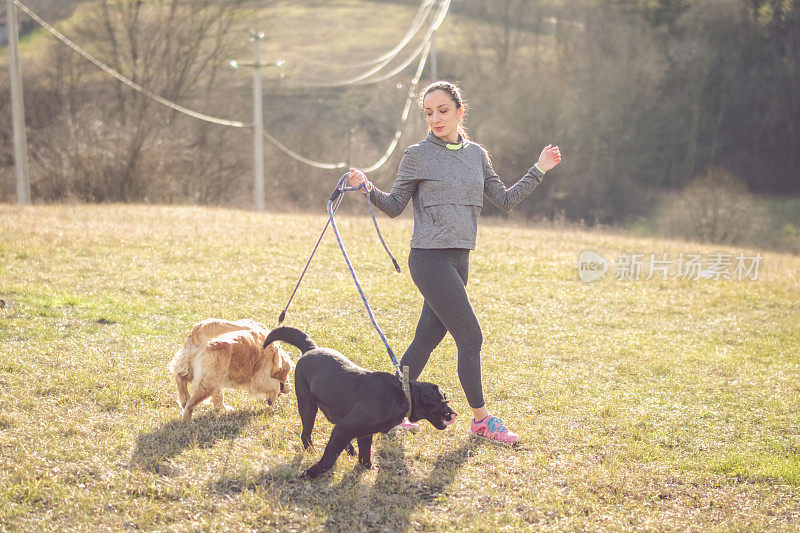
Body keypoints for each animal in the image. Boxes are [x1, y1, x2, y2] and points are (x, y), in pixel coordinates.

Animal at [262, 324, 456, 478]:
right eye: (443, 402)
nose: (454, 414)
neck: (402, 394)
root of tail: (311, 349)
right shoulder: (346, 428)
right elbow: (329, 458)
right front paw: (311, 473)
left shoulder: (364, 434)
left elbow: (365, 456)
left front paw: (368, 469)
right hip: (307, 406)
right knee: (306, 434)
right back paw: (312, 451)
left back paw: (349, 449)